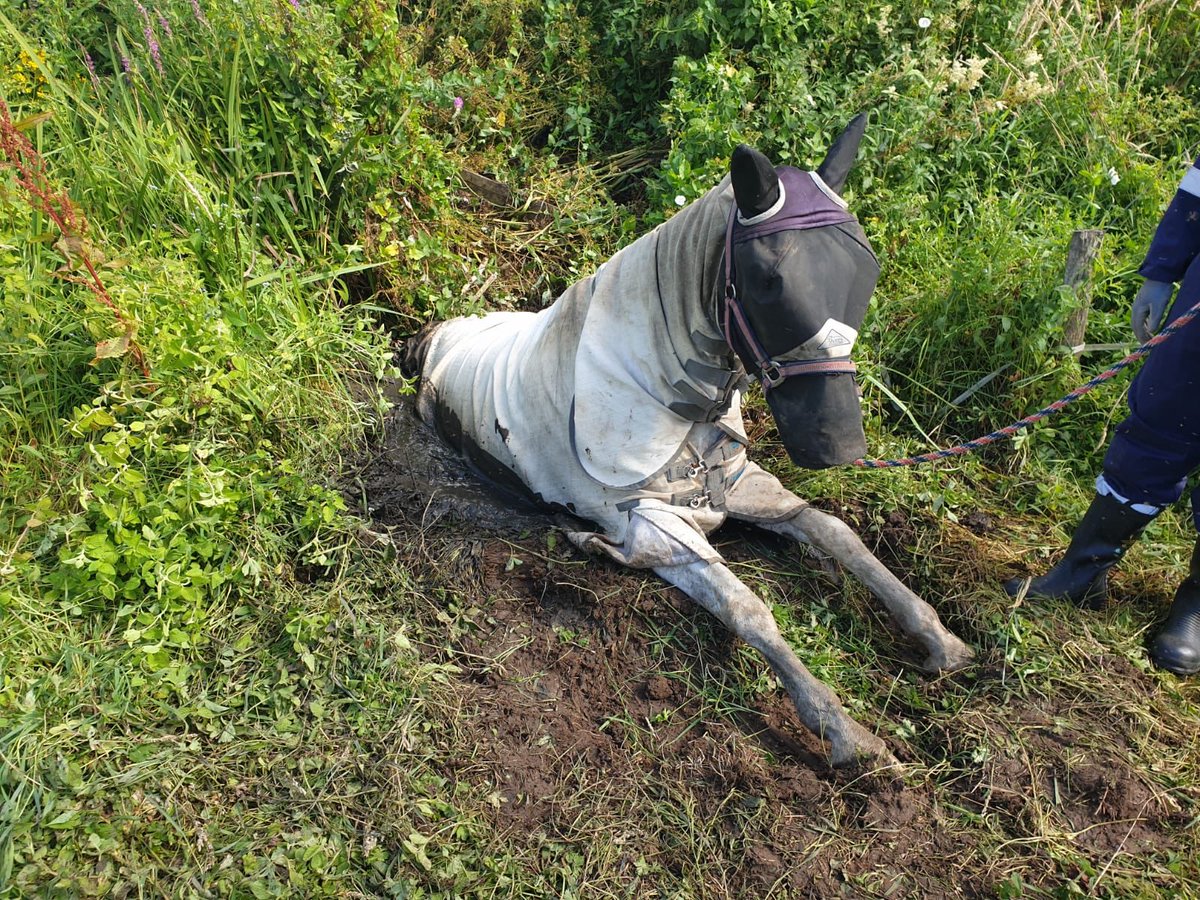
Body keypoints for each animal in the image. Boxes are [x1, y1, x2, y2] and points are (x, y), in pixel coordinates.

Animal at [403, 115, 974, 768]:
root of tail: (438, 335)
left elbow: (837, 533)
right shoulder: (657, 526)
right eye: (770, 282)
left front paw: (939, 639)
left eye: (866, 271)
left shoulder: (738, 484)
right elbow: (747, 608)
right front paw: (842, 731)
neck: (665, 394)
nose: (840, 445)